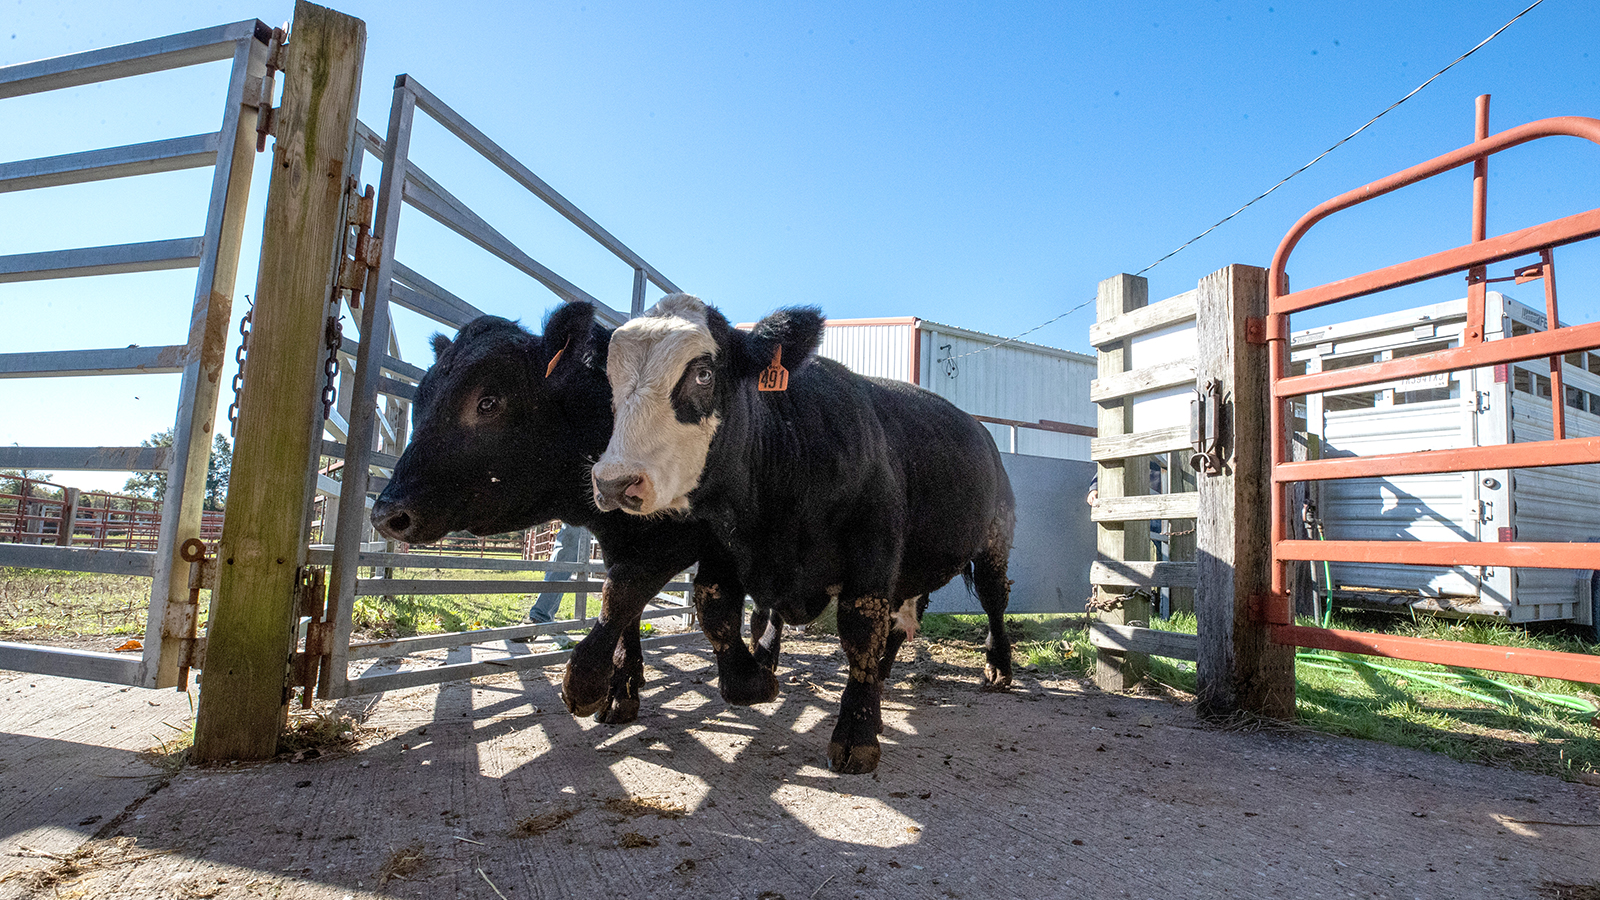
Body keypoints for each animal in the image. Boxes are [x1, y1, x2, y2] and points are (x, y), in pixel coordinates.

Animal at [369, 303, 778, 724]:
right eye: (419, 405)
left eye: (489, 402)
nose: (387, 513)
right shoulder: (620, 541)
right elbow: (627, 602)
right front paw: (622, 690)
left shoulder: (700, 538)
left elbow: (652, 595)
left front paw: (588, 681)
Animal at [592, 292, 1015, 774]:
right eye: (610, 380)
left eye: (703, 374)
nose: (614, 482)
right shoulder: (725, 543)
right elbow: (716, 608)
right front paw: (755, 679)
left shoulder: (873, 548)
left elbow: (861, 628)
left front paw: (857, 733)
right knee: (900, 618)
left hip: (995, 538)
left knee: (992, 598)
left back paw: (998, 668)